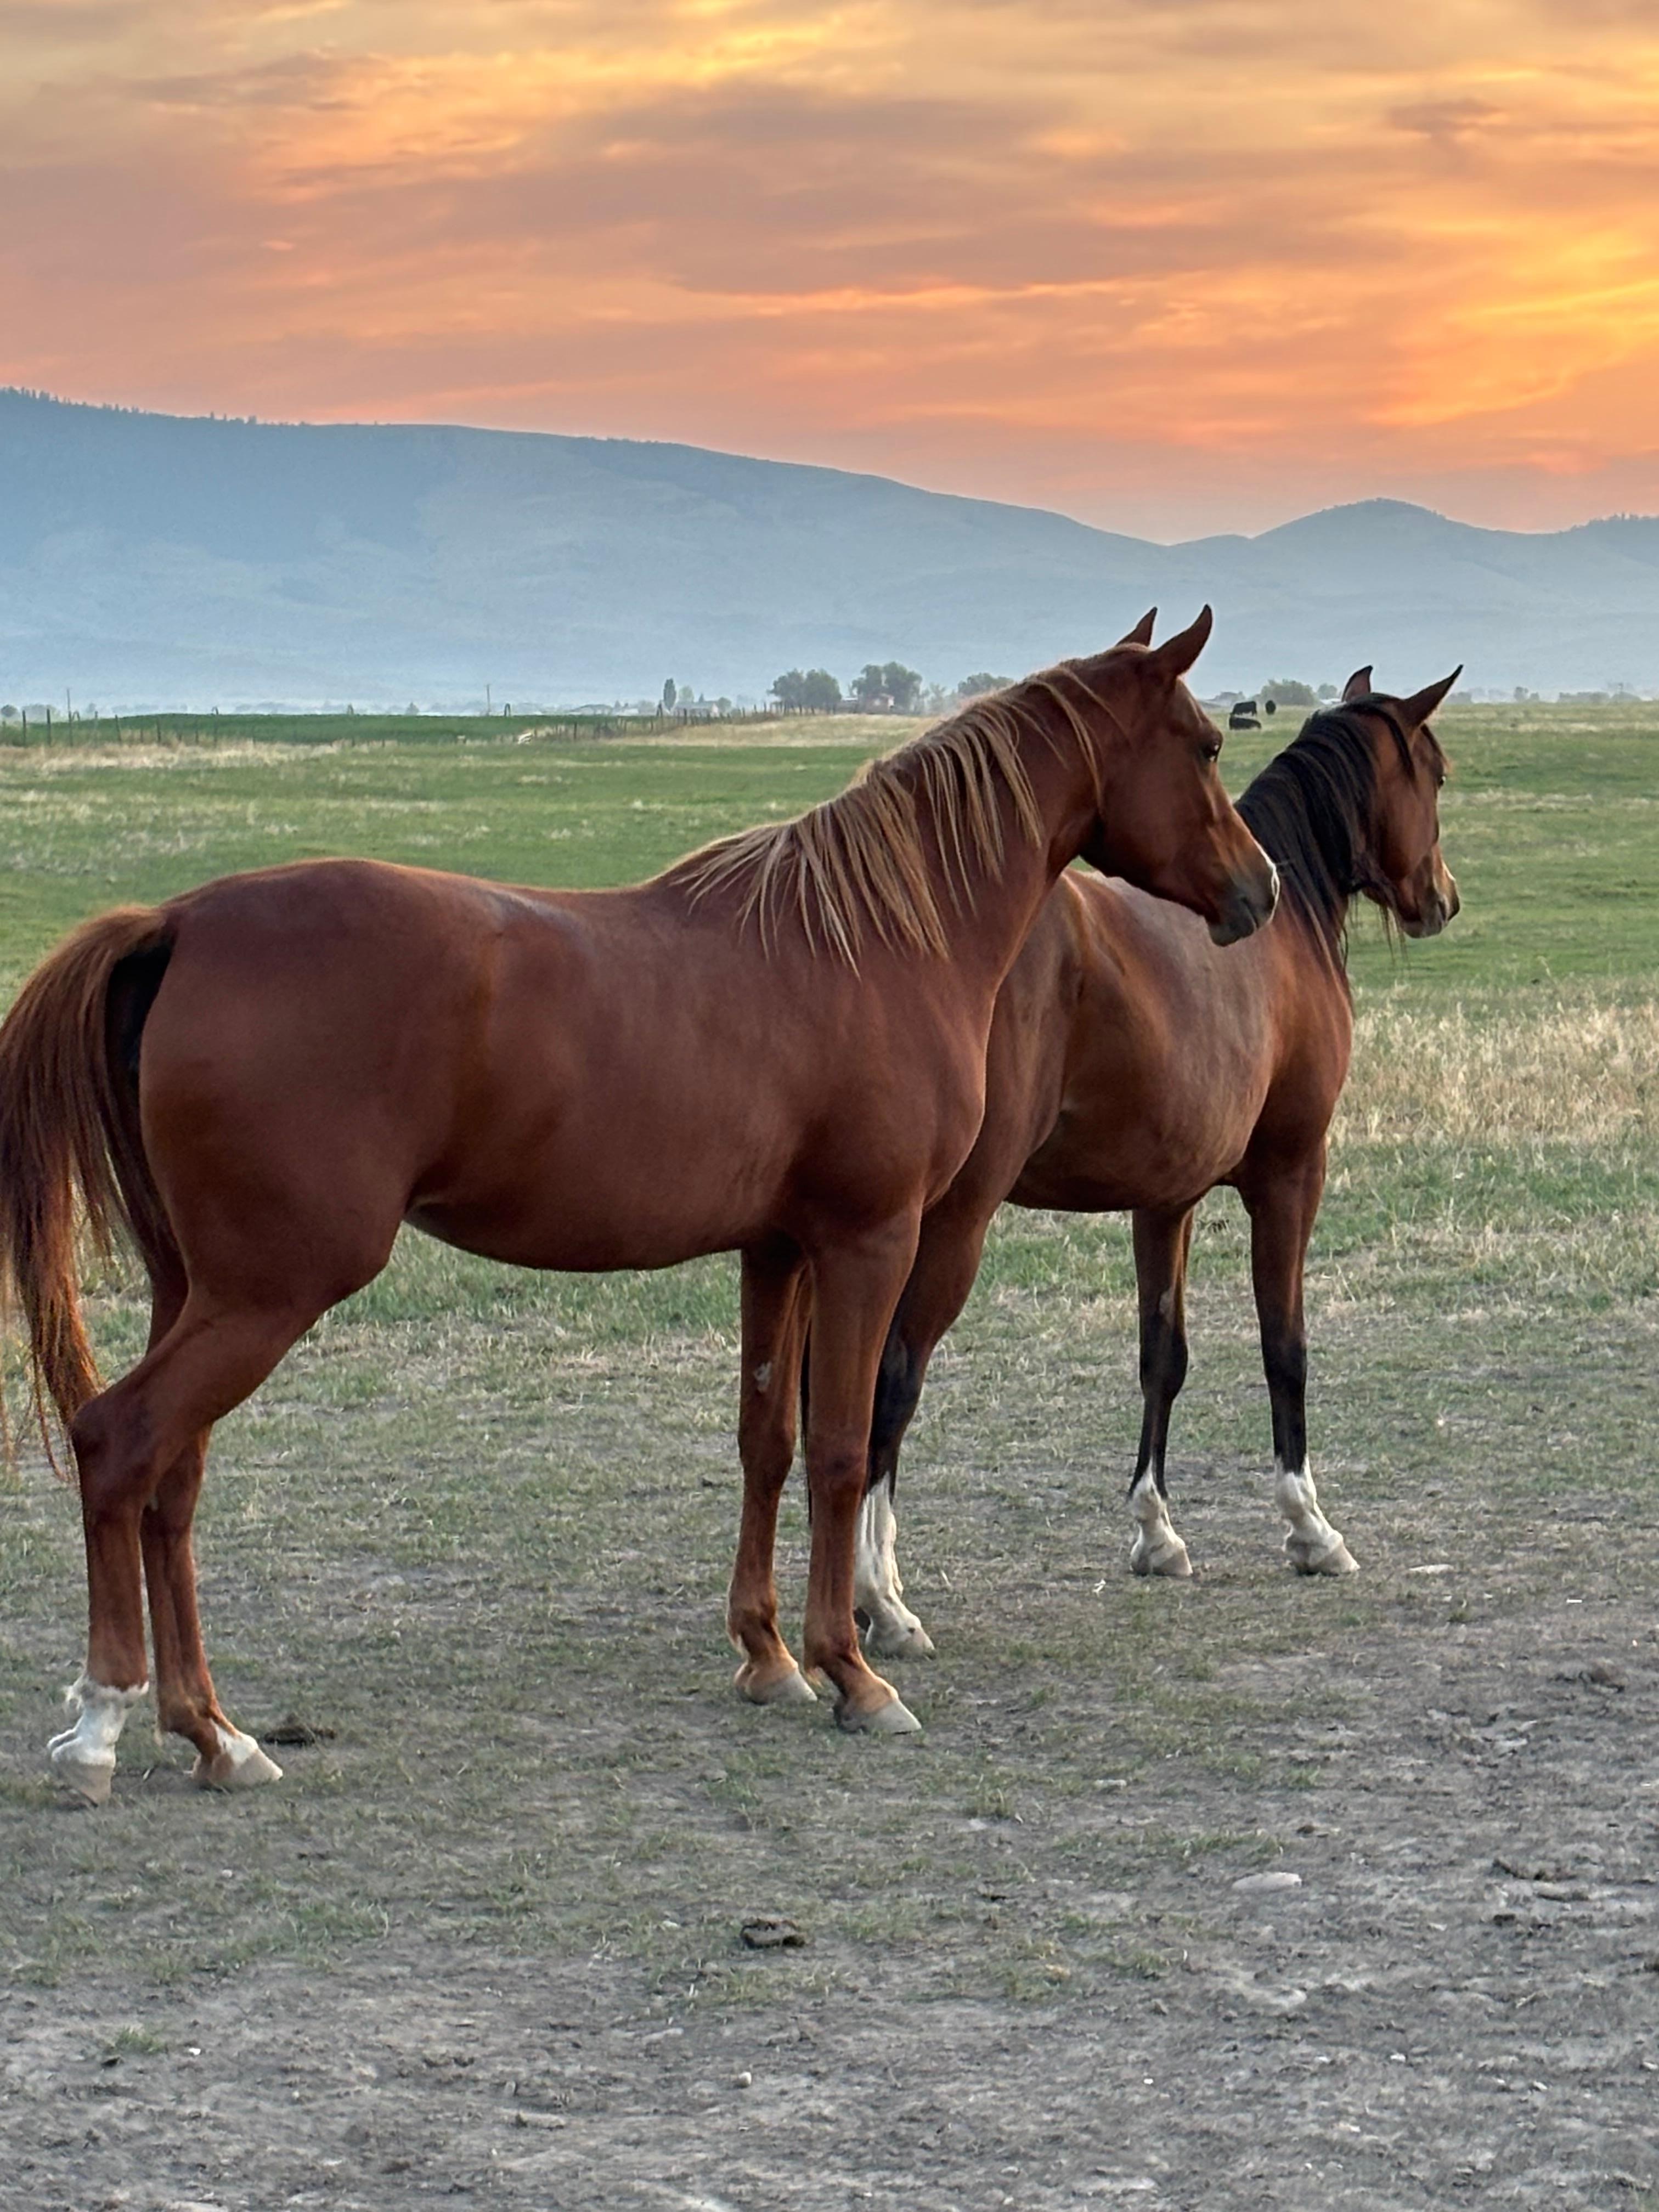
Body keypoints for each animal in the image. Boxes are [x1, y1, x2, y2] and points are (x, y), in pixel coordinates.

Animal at [0, 610, 1278, 1802]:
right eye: (1206, 742)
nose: (1259, 890)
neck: (875, 942)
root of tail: (176, 925)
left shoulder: (779, 1251)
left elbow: (766, 1440)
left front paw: (766, 1656)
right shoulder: (868, 1245)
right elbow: (841, 1449)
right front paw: (852, 1671)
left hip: (201, 1291)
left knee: (172, 1484)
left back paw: (213, 1733)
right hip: (268, 1292)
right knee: (120, 1445)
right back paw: (109, 1719)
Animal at [737, 662, 1459, 1663]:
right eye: (1434, 773)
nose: (1442, 897)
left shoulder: (1166, 1200)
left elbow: (1163, 1356)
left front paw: (1155, 1530)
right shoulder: (1290, 1175)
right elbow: (1284, 1346)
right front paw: (1309, 1526)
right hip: (939, 1226)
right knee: (887, 1382)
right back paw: (879, 1595)